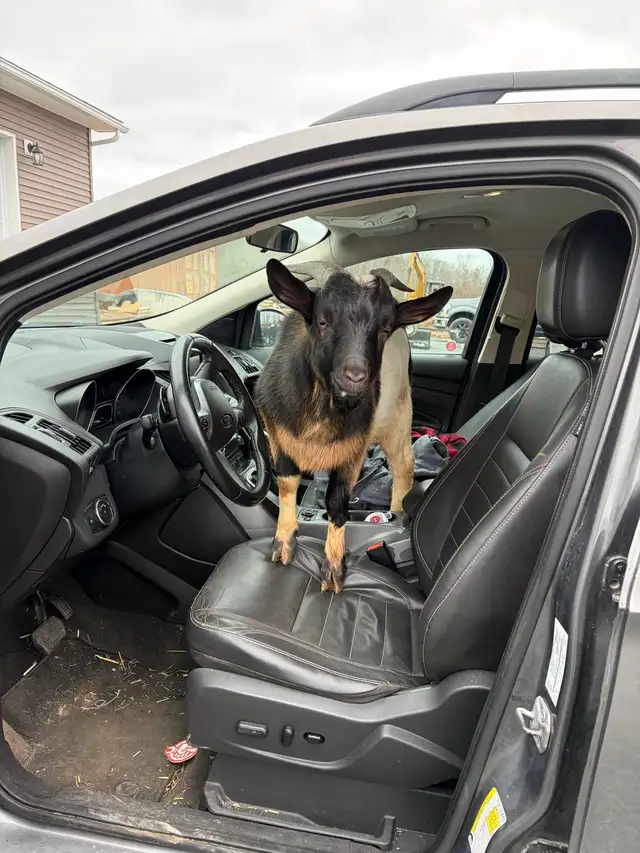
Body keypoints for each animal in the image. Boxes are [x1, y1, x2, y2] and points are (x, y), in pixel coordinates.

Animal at [255, 258, 453, 594]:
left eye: (384, 330)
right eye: (323, 321)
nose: (356, 376)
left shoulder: (354, 449)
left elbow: (337, 503)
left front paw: (333, 567)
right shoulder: (277, 434)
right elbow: (287, 483)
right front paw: (283, 544)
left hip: (398, 413)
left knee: (404, 466)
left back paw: (397, 510)